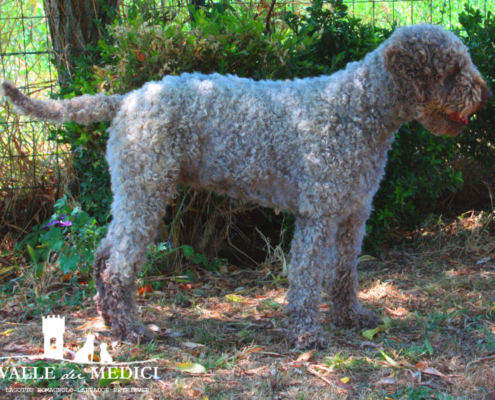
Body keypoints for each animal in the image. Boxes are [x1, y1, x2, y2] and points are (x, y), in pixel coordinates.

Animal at [2, 23, 492, 346]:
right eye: (452, 68)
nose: (485, 95)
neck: (358, 109)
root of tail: (128, 98)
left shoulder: (354, 212)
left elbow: (344, 271)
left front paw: (350, 316)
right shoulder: (318, 213)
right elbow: (307, 275)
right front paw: (305, 333)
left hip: (135, 191)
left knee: (104, 254)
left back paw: (111, 322)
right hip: (146, 190)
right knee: (117, 264)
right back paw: (131, 329)